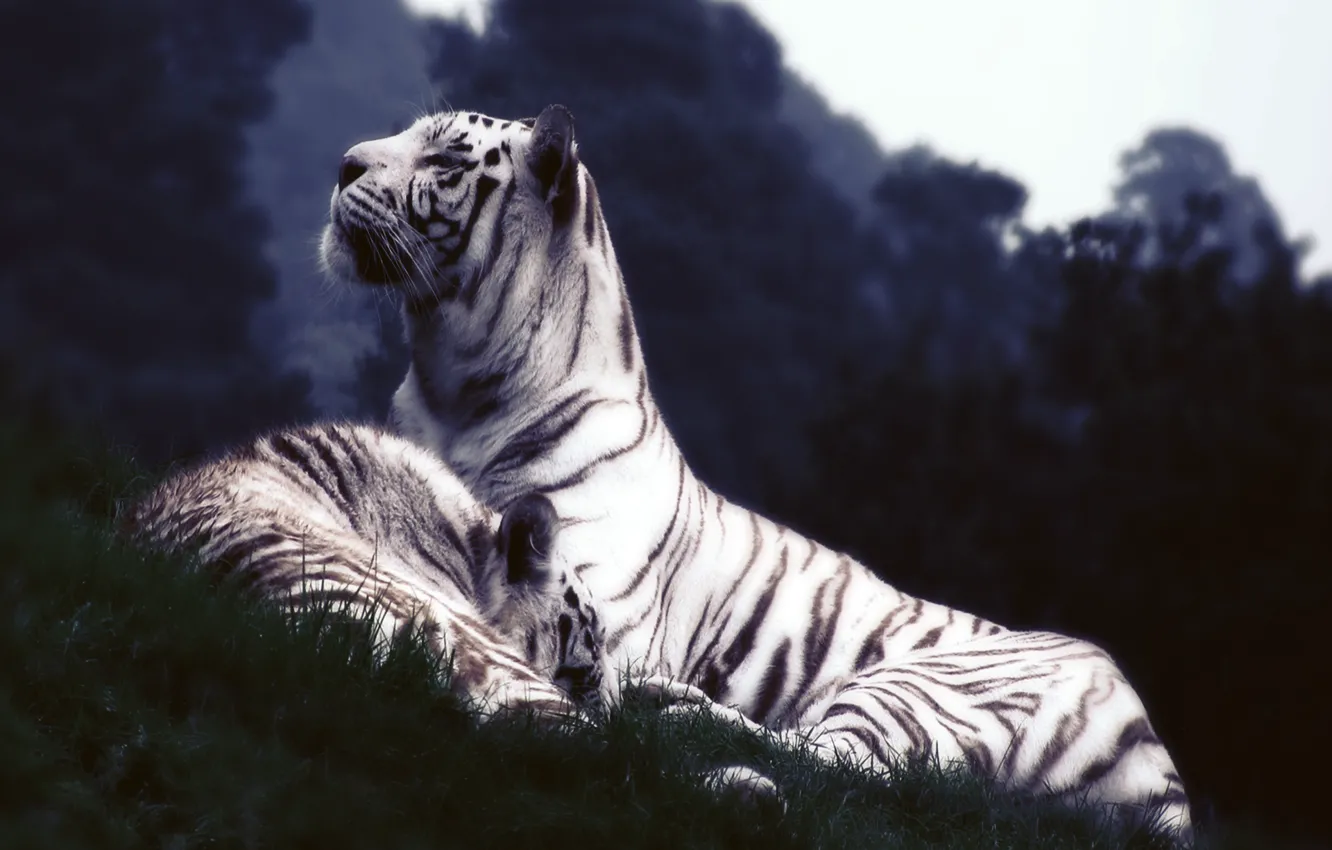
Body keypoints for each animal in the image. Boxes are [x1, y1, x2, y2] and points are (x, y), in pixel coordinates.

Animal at [318, 105, 1193, 842]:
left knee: (843, 764)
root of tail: (1166, 777)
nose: (343, 162)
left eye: (444, 156)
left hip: (926, 687)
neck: (453, 388)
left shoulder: (594, 607)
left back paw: (674, 712)